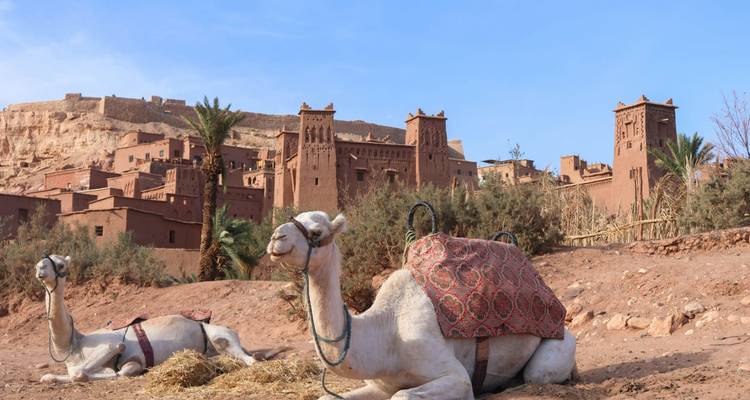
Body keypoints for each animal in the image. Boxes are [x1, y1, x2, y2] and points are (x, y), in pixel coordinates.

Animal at [35, 254, 276, 383]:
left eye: (61, 264)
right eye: (44, 260)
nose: (40, 268)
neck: (74, 344)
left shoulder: (116, 347)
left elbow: (90, 371)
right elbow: (53, 376)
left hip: (220, 336)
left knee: (246, 357)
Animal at [267, 212, 577, 400]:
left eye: (316, 231)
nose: (275, 238)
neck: (386, 336)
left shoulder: (455, 376)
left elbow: (404, 393)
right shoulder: (378, 384)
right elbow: (326, 395)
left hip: (556, 344)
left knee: (539, 373)